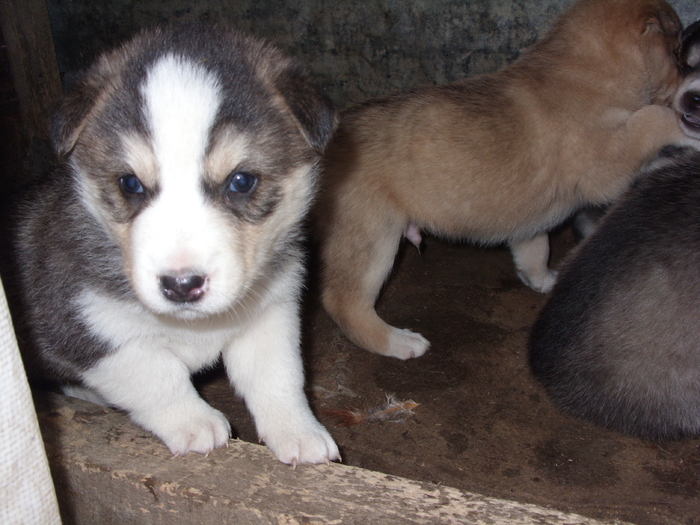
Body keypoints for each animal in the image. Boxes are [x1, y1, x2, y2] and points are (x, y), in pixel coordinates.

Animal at [10, 24, 340, 462]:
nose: (182, 285)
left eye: (241, 181)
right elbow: (155, 374)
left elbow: (279, 376)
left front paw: (299, 432)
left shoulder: (271, 311)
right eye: (130, 183)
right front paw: (196, 423)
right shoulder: (81, 327)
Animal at [318, 0, 700, 358]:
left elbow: (536, 250)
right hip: (374, 236)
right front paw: (686, 131)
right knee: (344, 302)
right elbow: (652, 119)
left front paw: (544, 279)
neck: (589, 72)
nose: (691, 98)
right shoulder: (605, 167)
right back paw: (398, 342)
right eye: (679, 56)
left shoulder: (529, 219)